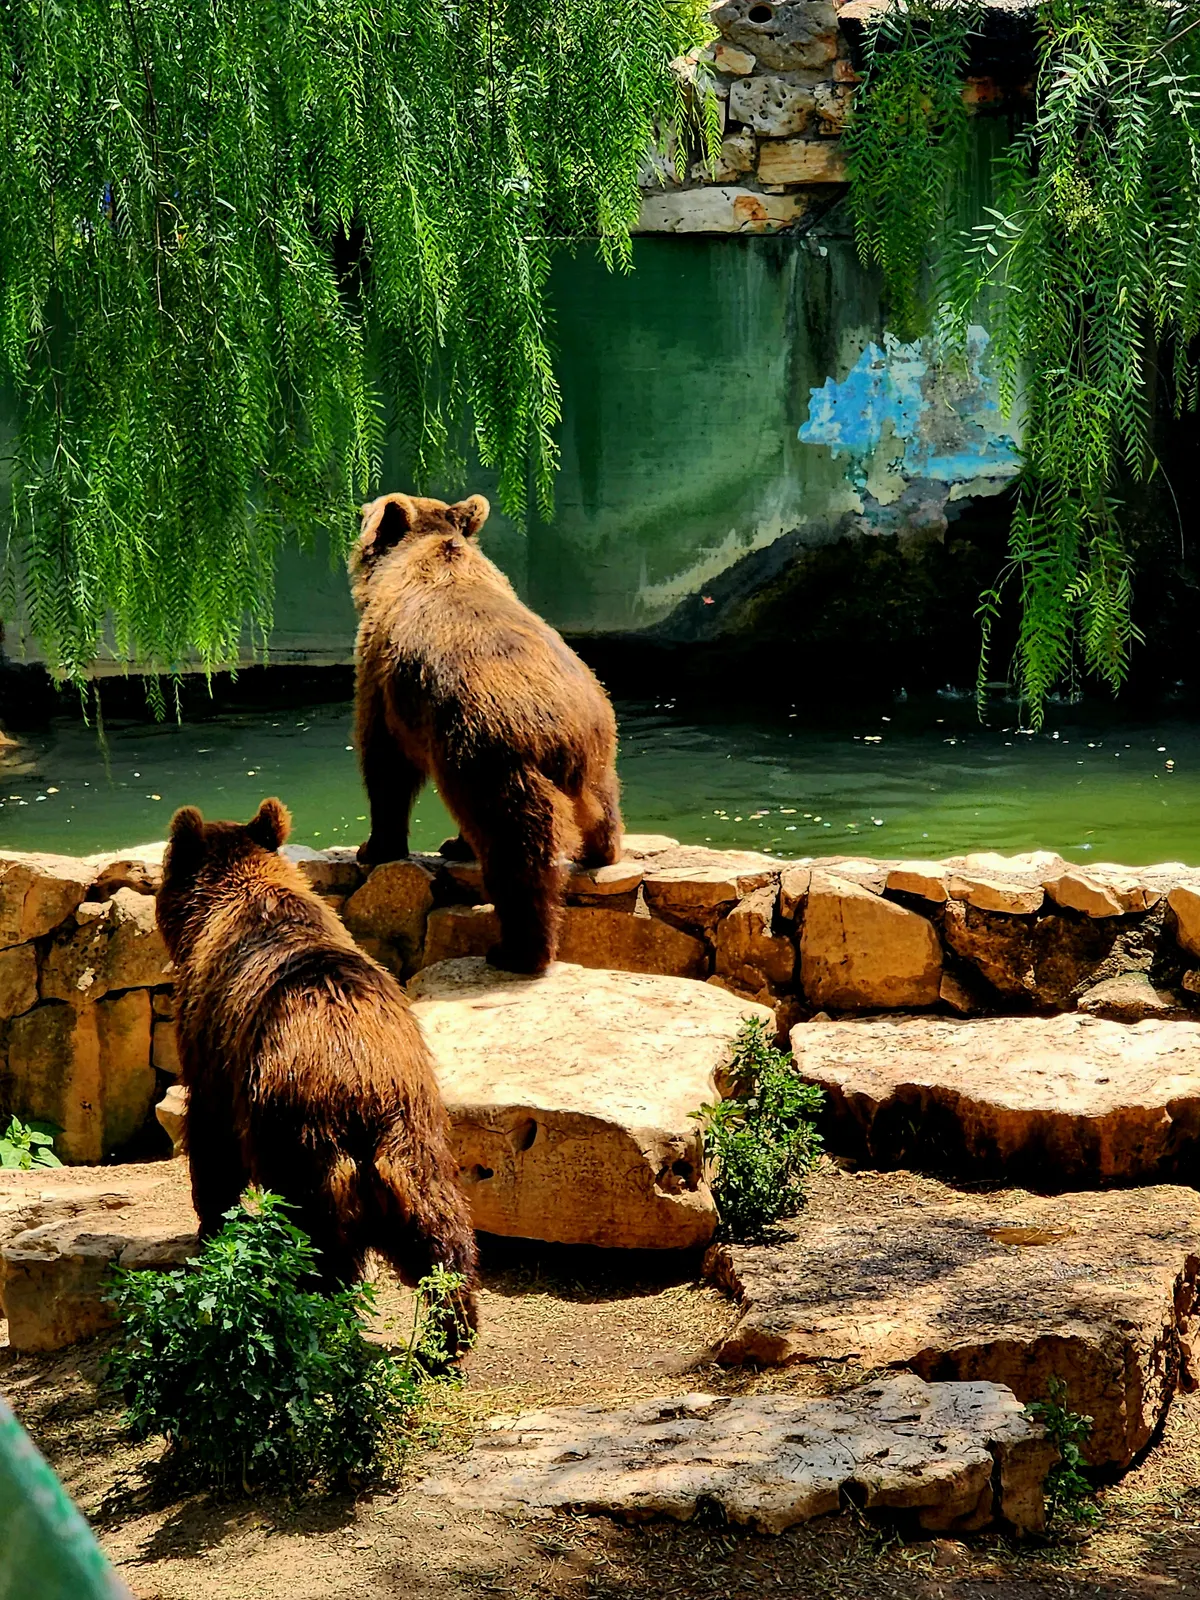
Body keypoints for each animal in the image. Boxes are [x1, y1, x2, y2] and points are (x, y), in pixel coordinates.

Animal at [156, 797, 478, 1351]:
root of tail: (365, 1086)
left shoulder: (211, 1046)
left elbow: (213, 1146)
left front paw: (210, 1230)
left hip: (296, 1132)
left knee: (313, 1242)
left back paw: (308, 1319)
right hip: (416, 1133)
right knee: (440, 1231)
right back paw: (448, 1336)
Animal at [349, 490, 623, 975]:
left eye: (366, 513)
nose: (355, 510)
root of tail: (563, 732)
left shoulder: (382, 679)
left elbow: (384, 766)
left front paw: (376, 847)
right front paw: (451, 844)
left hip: (488, 752)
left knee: (514, 848)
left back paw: (517, 950)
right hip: (599, 741)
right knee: (603, 801)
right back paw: (598, 852)